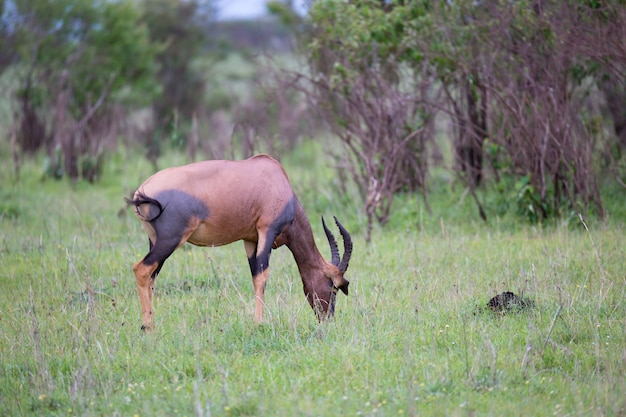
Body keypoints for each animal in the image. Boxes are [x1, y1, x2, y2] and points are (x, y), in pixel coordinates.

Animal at [127, 153, 352, 328]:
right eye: (333, 287)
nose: (327, 320)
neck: (276, 178)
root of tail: (144, 189)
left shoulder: (250, 240)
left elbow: (254, 276)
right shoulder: (267, 230)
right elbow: (262, 276)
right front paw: (259, 322)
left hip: (155, 240)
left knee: (151, 277)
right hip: (170, 240)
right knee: (142, 269)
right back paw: (148, 328)